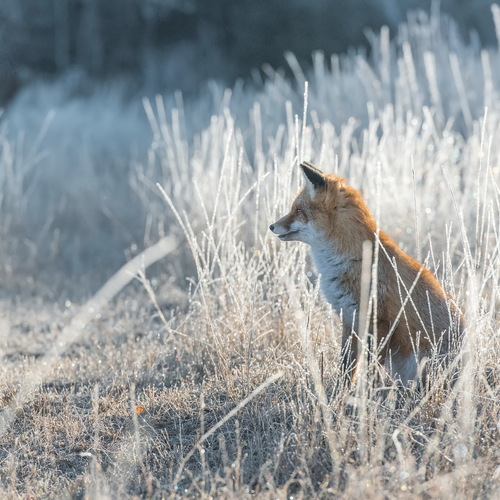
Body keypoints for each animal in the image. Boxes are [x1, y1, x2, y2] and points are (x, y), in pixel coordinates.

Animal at [270, 162, 464, 384]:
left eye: (298, 210)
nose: (271, 226)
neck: (347, 259)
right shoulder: (349, 318)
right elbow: (346, 365)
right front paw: (342, 389)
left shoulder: (379, 321)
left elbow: (372, 368)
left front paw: (368, 390)